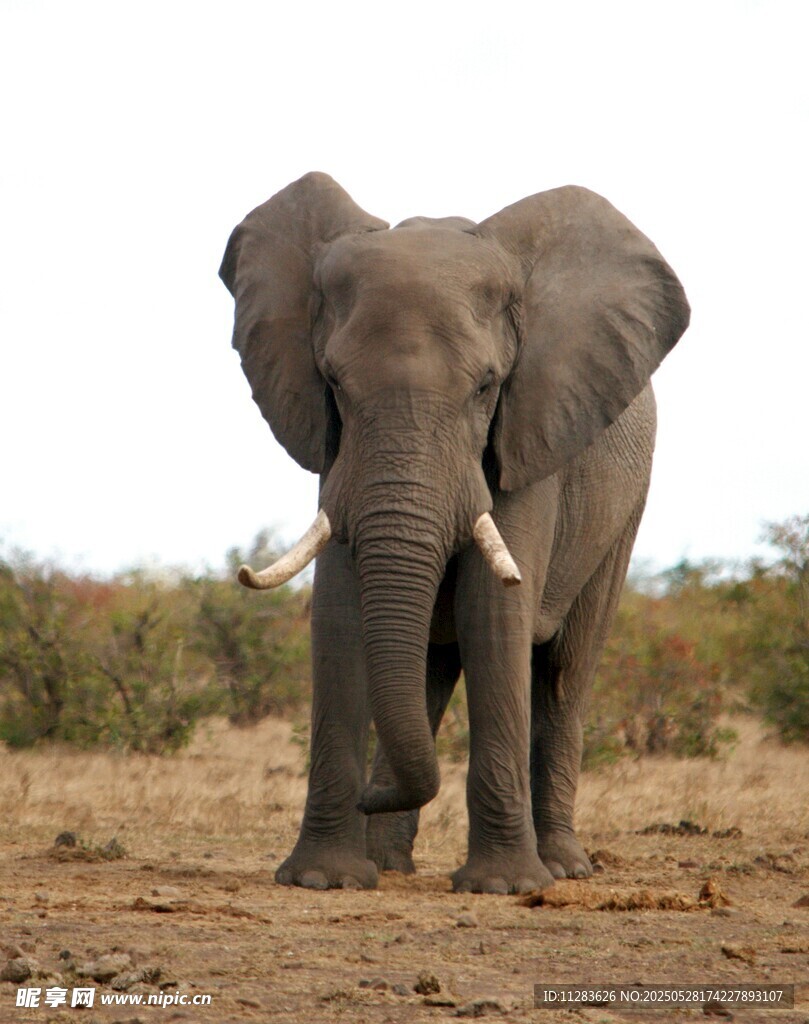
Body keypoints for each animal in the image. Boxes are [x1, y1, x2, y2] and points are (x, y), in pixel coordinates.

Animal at [219, 172, 689, 894]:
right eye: (333, 382)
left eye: (486, 387)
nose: (370, 794)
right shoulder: (333, 449)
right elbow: (338, 614)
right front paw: (323, 879)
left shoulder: (530, 432)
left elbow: (492, 612)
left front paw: (505, 887)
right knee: (432, 671)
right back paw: (391, 862)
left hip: (625, 508)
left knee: (562, 674)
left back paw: (562, 867)